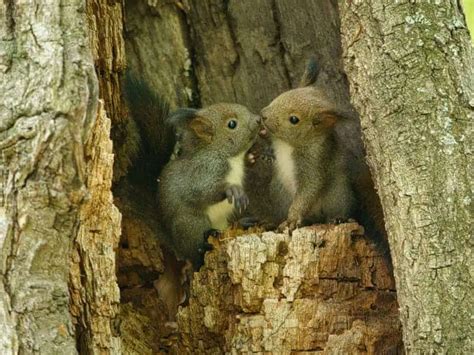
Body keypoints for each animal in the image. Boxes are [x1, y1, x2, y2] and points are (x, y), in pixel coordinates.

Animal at [159, 104, 262, 268]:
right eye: (232, 124)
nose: (258, 119)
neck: (231, 157)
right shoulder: (204, 169)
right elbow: (199, 190)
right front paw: (232, 189)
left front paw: (252, 156)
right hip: (191, 223)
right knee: (195, 254)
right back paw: (202, 247)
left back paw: (244, 222)